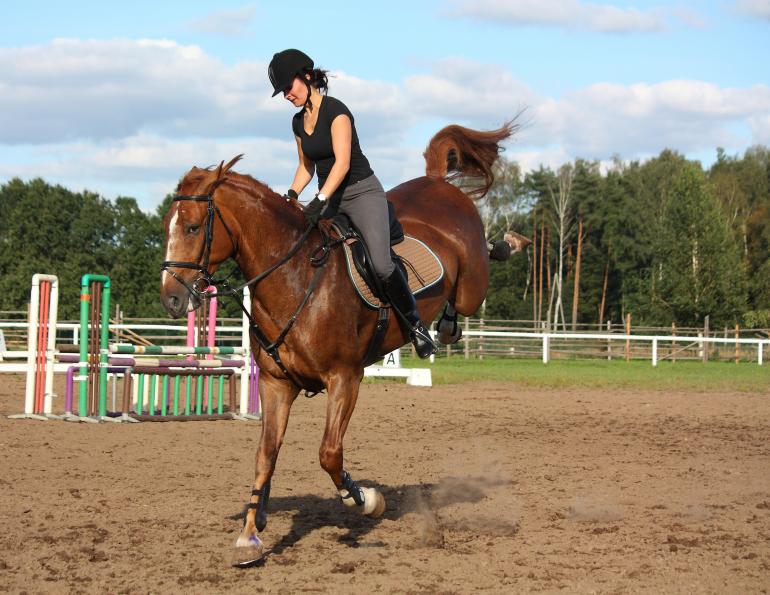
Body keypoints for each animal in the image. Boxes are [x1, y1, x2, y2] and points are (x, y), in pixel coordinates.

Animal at [160, 122, 516, 566]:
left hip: (472, 282)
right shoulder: (277, 385)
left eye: (192, 227)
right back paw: (445, 326)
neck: (293, 275)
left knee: (477, 278)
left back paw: (507, 246)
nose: (171, 299)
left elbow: (329, 453)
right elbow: (265, 454)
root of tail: (437, 183)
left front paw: (365, 500)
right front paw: (250, 533)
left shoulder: (345, 378)